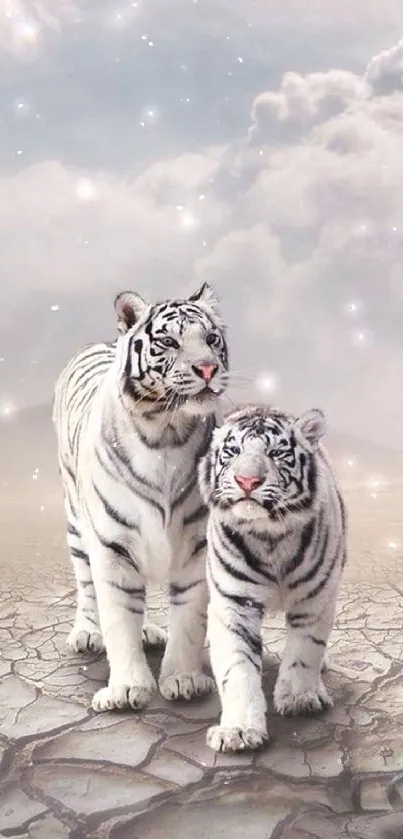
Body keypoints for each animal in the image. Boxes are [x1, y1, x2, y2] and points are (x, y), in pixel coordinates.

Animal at [53, 286, 229, 712]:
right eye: (170, 342)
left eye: (211, 339)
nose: (208, 369)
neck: (166, 431)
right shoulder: (112, 547)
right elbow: (118, 618)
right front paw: (127, 688)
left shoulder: (197, 545)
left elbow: (189, 618)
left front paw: (183, 679)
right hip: (76, 524)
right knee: (87, 584)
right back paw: (87, 633)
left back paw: (148, 631)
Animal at [199, 404, 348, 752]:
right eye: (233, 451)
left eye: (276, 452)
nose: (247, 481)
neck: (269, 536)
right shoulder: (234, 604)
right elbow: (237, 667)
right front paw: (238, 731)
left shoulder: (315, 599)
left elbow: (306, 649)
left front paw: (300, 698)